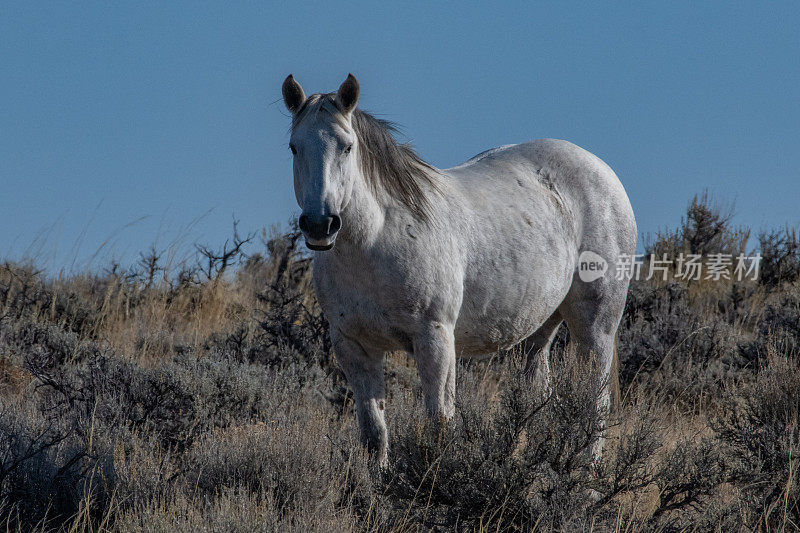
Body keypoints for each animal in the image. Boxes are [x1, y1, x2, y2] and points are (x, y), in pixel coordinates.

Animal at [282, 72, 636, 464]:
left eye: (347, 147)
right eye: (294, 147)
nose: (320, 225)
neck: (375, 241)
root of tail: (602, 172)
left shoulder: (434, 338)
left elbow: (438, 425)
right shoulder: (354, 346)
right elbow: (374, 436)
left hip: (596, 325)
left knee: (595, 405)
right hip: (539, 328)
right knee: (537, 395)